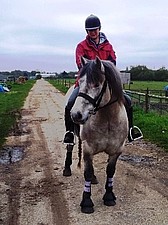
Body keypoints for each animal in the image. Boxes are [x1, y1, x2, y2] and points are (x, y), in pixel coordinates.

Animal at [70, 56, 128, 213]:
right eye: (80, 81)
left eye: (96, 84)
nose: (76, 115)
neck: (107, 118)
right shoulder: (88, 149)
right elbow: (87, 173)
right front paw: (87, 202)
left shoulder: (117, 150)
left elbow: (110, 171)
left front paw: (109, 196)